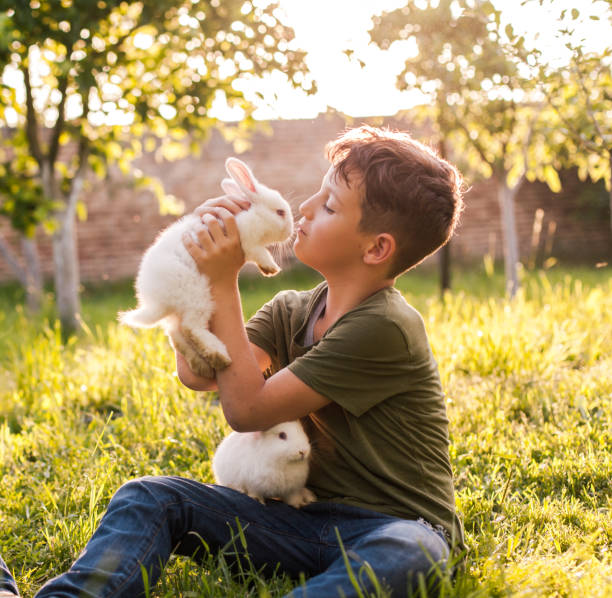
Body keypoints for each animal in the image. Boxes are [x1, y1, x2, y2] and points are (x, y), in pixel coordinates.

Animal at [119, 158, 294, 380]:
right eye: (280, 212)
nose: (290, 231)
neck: (253, 214)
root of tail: (156, 301)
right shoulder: (248, 241)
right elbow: (259, 253)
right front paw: (271, 268)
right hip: (197, 296)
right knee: (190, 328)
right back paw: (219, 355)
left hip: (179, 311)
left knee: (176, 335)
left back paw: (202, 366)